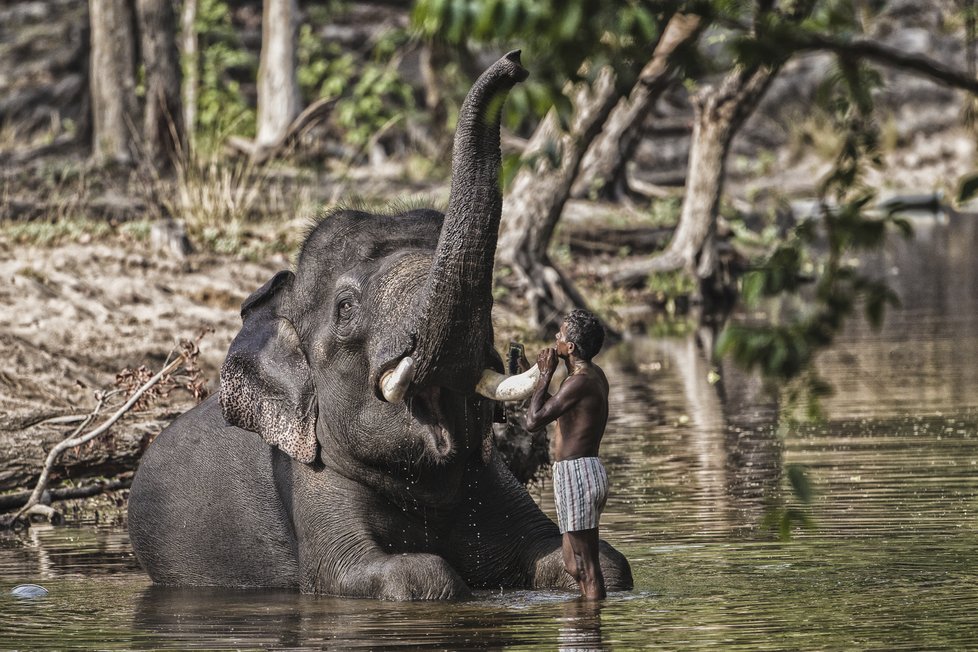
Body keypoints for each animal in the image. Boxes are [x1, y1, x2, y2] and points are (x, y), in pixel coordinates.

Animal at [127, 51, 632, 600]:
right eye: (346, 309)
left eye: (494, 299)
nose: (514, 62)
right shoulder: (308, 477)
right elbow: (384, 575)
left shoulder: (494, 477)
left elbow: (596, 560)